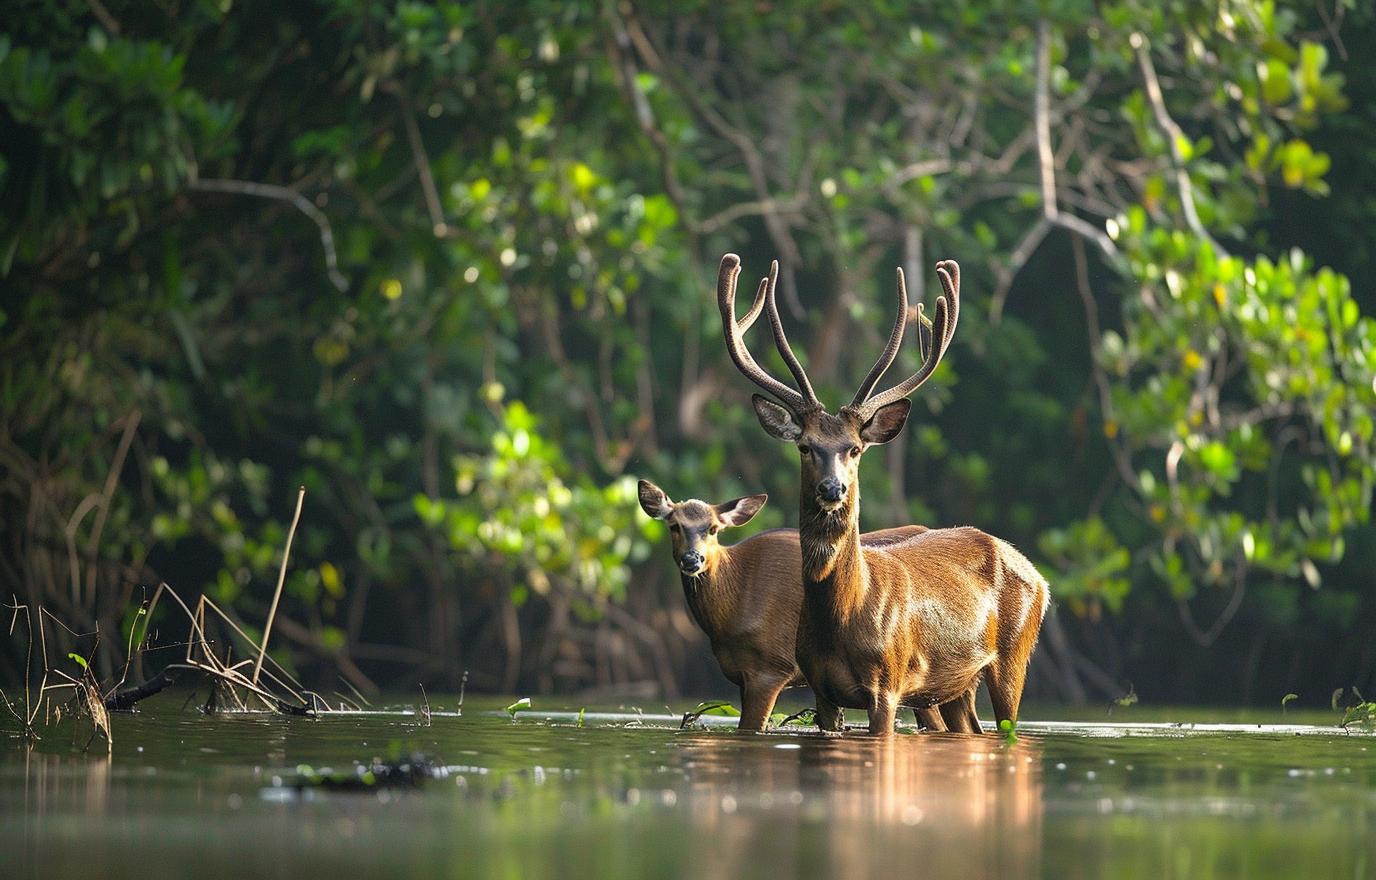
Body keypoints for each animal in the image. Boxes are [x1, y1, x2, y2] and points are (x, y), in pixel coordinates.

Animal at [715, 254, 1045, 737]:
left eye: (855, 448)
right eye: (805, 446)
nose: (832, 487)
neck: (844, 614)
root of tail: (1039, 576)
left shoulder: (888, 684)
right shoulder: (819, 686)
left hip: (1014, 653)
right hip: (955, 685)